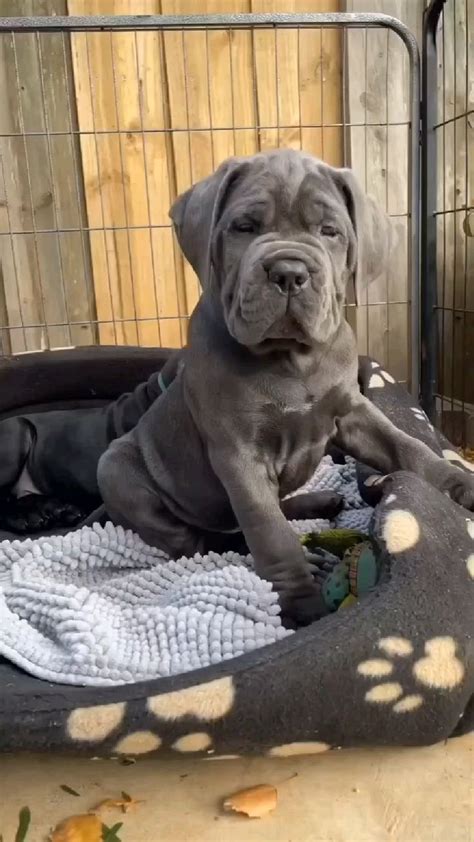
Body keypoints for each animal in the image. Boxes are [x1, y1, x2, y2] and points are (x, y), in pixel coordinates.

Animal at [98, 151, 474, 624]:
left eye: (330, 231)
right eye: (244, 227)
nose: (289, 272)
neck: (291, 358)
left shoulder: (352, 413)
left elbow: (408, 445)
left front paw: (458, 483)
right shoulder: (238, 454)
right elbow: (269, 532)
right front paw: (302, 602)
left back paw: (319, 503)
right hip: (116, 470)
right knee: (211, 539)